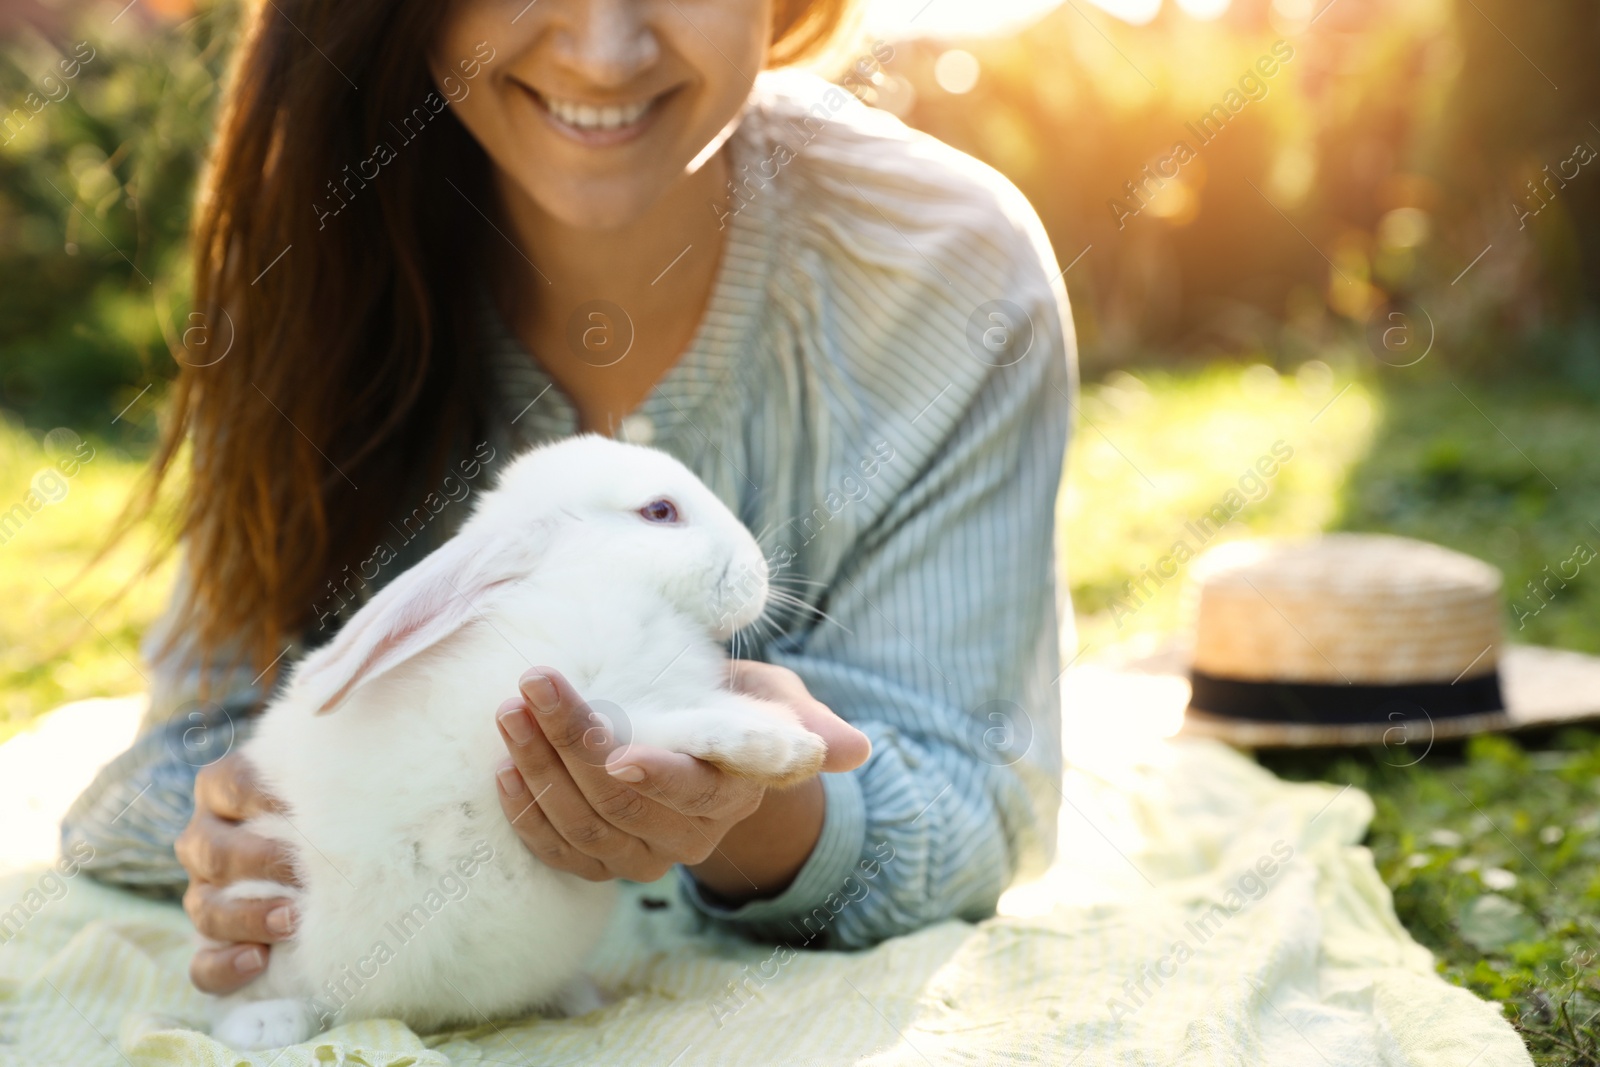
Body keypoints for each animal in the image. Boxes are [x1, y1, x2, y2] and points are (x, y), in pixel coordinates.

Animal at [209, 435, 825, 1049]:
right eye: (660, 511)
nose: (761, 573)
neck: (597, 580)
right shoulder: (557, 711)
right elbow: (656, 725)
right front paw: (782, 746)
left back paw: (581, 997)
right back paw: (262, 1026)